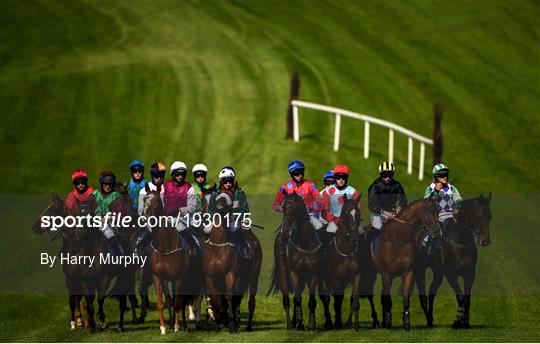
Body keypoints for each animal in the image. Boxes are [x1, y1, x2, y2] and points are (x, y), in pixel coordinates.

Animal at [142, 189, 201, 334]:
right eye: (144, 199)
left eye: (157, 200)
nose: (146, 212)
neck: (164, 246)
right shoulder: (158, 277)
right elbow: (161, 303)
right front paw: (163, 328)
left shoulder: (179, 278)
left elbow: (177, 303)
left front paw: (176, 327)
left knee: (185, 300)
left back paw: (186, 324)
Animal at [266, 194, 334, 330]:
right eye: (283, 206)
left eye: (294, 207)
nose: (284, 230)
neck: (304, 244)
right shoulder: (294, 271)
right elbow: (297, 299)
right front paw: (301, 324)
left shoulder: (313, 273)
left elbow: (312, 300)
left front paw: (311, 325)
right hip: (283, 270)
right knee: (287, 298)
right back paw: (289, 324)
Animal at [364, 198, 440, 330]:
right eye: (430, 212)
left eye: (438, 211)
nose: (437, 232)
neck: (397, 240)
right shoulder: (386, 275)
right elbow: (388, 299)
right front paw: (388, 323)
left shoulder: (409, 273)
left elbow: (405, 298)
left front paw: (406, 322)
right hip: (370, 273)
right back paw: (377, 322)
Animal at [416, 192, 496, 330]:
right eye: (479, 215)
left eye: (489, 216)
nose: (485, 241)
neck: (460, 241)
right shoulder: (450, 274)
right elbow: (460, 296)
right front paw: (458, 321)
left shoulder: (470, 273)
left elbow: (467, 298)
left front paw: (465, 322)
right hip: (422, 268)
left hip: (438, 272)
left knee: (432, 290)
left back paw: (431, 319)